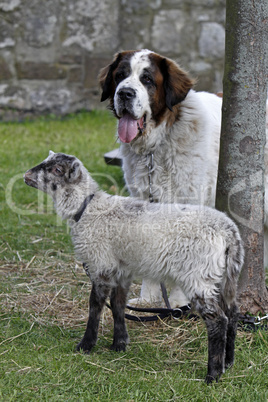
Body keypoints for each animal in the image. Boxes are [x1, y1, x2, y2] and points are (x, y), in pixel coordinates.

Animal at [24, 151, 244, 384]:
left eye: (57, 170)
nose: (26, 175)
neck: (87, 208)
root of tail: (228, 231)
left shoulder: (101, 264)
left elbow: (95, 306)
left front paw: (86, 345)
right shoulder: (122, 270)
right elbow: (118, 305)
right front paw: (119, 344)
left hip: (198, 276)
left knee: (218, 320)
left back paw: (213, 374)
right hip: (224, 276)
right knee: (233, 314)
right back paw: (228, 361)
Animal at [98, 48, 268, 306]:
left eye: (147, 80)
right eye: (120, 75)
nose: (125, 93)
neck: (158, 142)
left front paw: (179, 302)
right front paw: (148, 299)